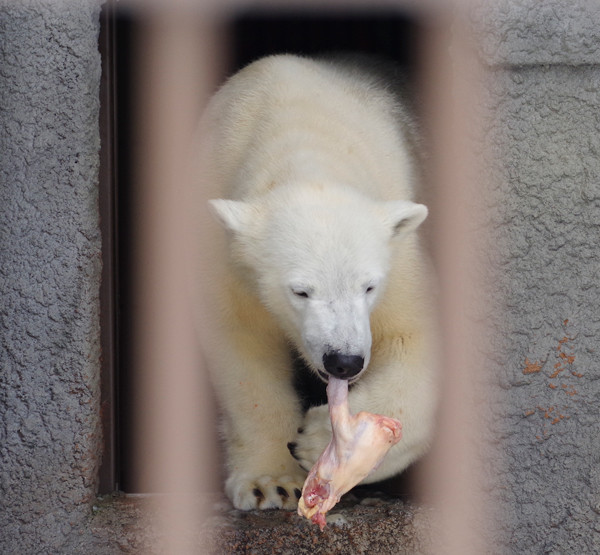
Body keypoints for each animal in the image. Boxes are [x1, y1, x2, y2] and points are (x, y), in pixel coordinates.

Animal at [197, 55, 436, 512]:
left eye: (368, 287)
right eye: (300, 291)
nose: (344, 361)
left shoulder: (398, 256)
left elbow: (411, 341)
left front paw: (318, 439)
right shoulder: (231, 260)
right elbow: (244, 346)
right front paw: (271, 483)